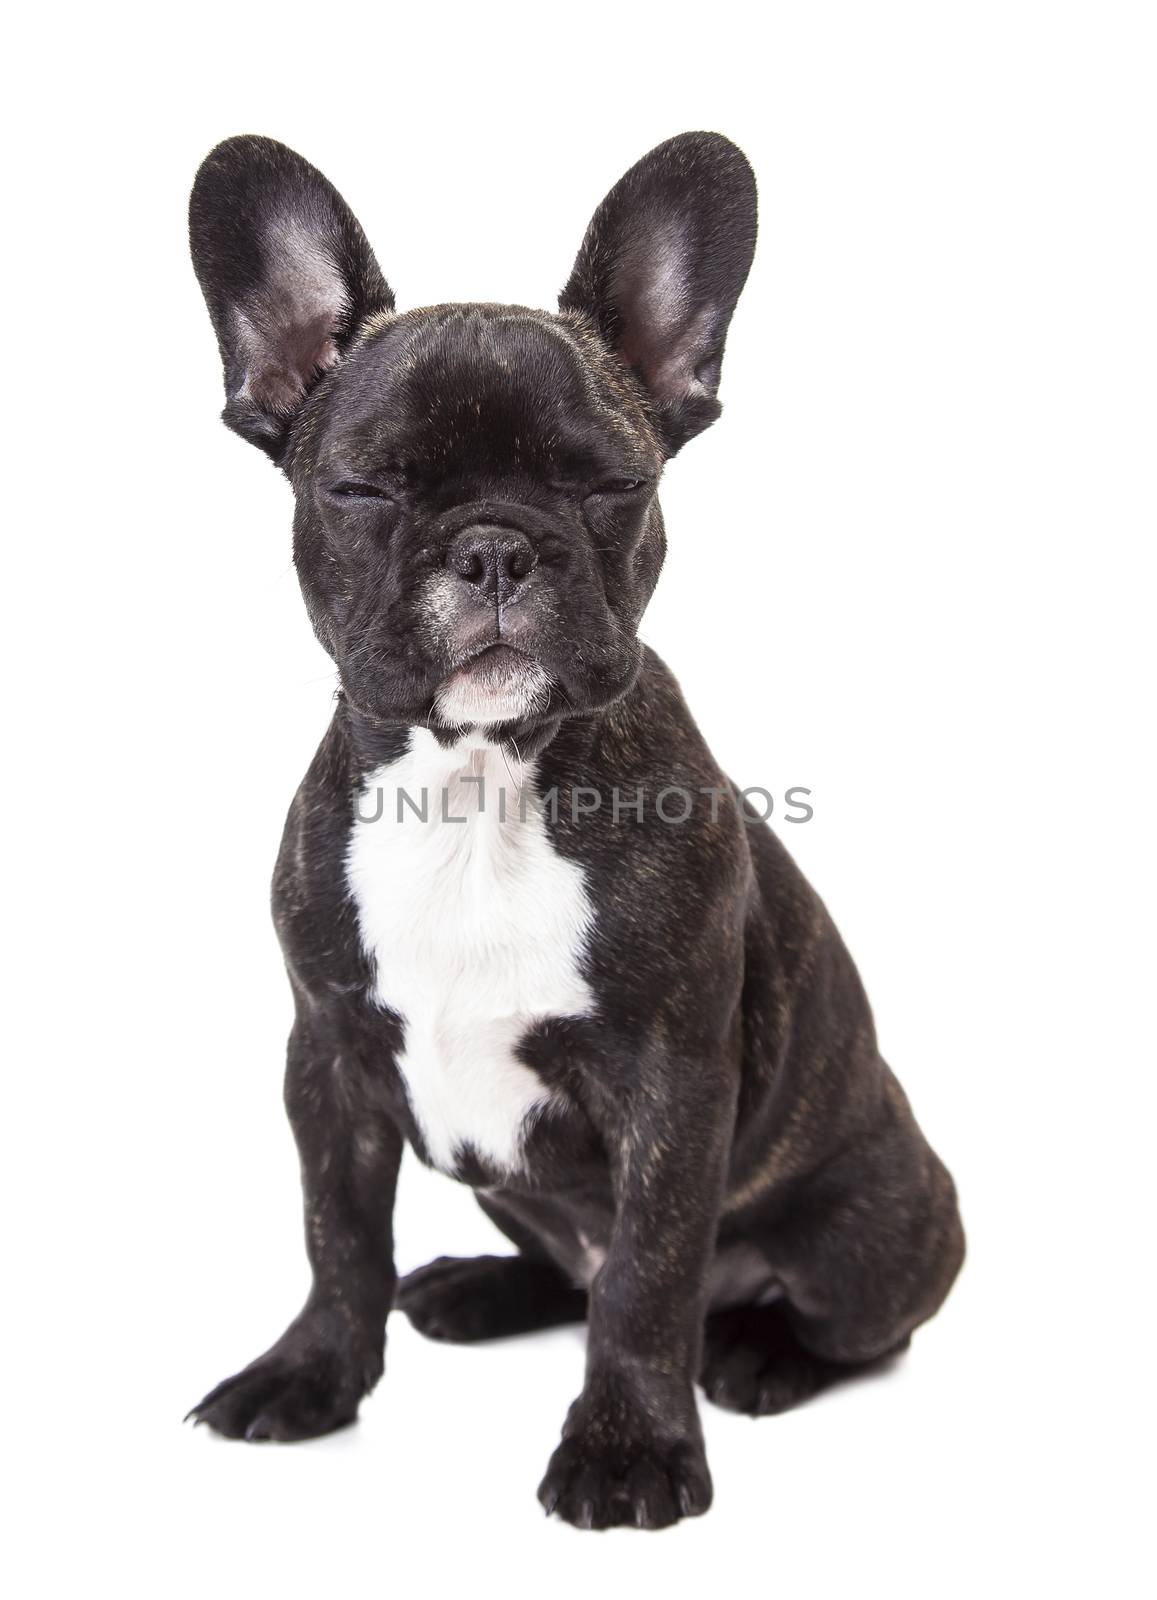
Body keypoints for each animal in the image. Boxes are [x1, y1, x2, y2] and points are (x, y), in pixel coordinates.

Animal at [190, 134, 966, 1523]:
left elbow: (649, 1279)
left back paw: (757, 1351)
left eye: (610, 485)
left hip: (876, 1223)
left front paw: (625, 1448)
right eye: (362, 488)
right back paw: (472, 1288)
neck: (476, 787)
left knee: (830, 1317)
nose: (496, 547)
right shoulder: (327, 1061)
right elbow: (338, 1238)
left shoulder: (669, 1086)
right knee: (563, 1267)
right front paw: (311, 1374)